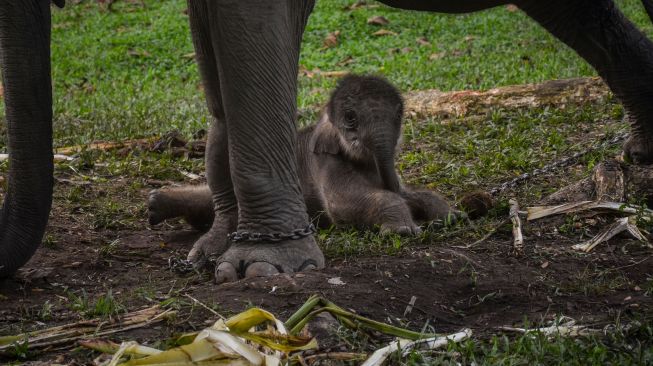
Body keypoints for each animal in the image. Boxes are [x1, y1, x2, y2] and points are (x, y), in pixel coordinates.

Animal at [150, 75, 460, 234]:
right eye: (350, 119)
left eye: (399, 114)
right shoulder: (325, 162)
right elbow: (341, 205)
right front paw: (403, 231)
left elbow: (413, 192)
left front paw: (451, 217)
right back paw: (155, 205)